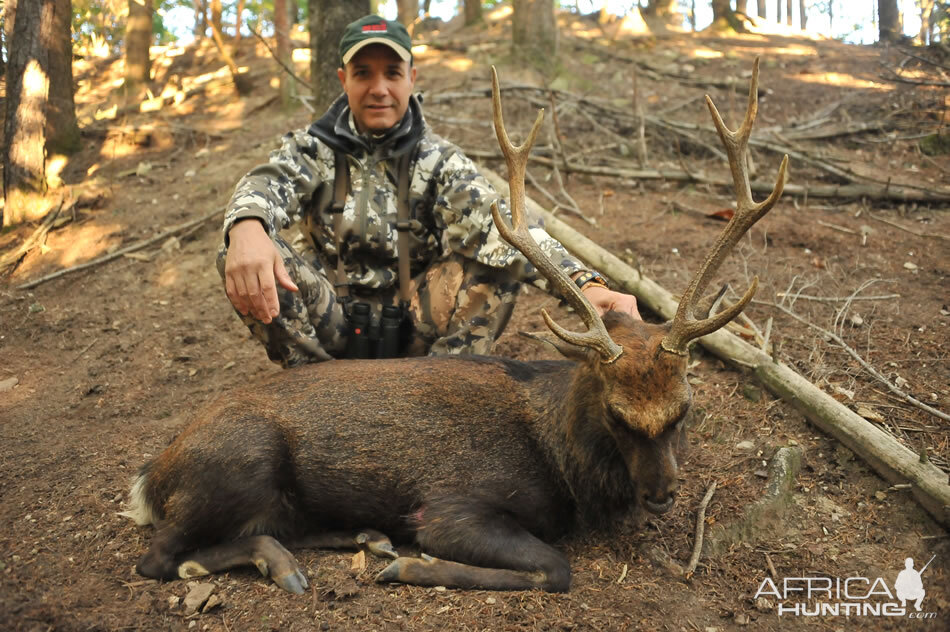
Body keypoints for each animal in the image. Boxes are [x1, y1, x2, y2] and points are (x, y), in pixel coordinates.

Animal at [121, 59, 788, 592]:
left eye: (684, 409)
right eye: (617, 413)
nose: (662, 494)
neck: (564, 465)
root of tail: (151, 477)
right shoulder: (452, 504)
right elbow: (554, 567)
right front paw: (414, 565)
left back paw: (362, 537)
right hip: (240, 462)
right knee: (160, 558)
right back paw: (288, 563)